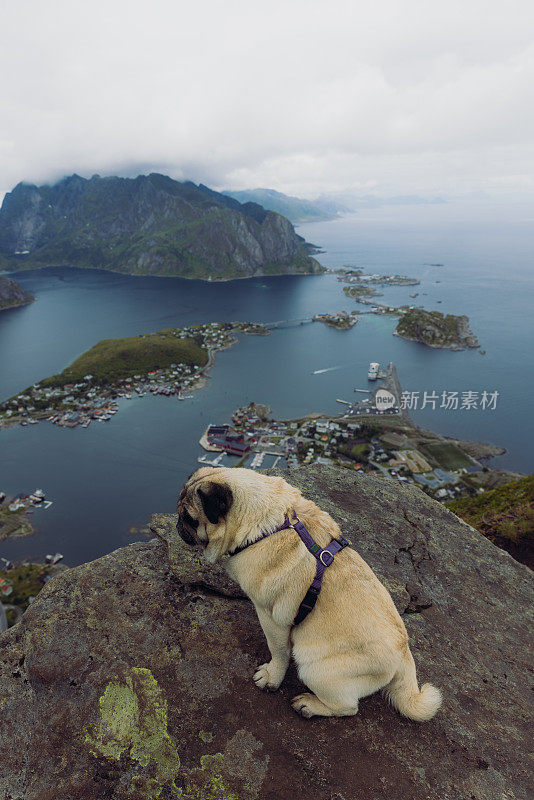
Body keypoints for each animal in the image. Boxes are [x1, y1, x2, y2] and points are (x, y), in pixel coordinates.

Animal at [178, 466, 442, 720]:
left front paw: (272, 677)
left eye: (191, 519)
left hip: (315, 669)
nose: (178, 523)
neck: (269, 522)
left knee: (348, 707)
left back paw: (310, 705)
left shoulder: (272, 617)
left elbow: (279, 652)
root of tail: (403, 654)